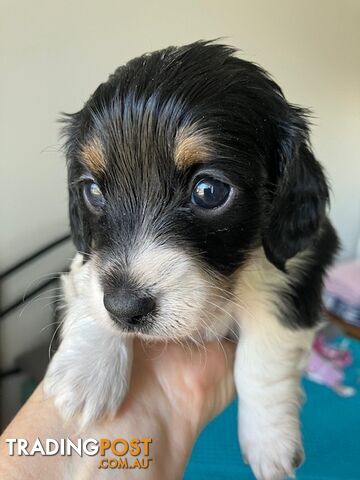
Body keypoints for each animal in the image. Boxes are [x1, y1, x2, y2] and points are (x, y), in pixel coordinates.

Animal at [43, 42, 338, 480]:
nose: (125, 308)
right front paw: (84, 376)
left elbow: (263, 359)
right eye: (93, 190)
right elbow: (89, 287)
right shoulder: (87, 261)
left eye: (209, 191)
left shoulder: (299, 268)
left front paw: (270, 442)